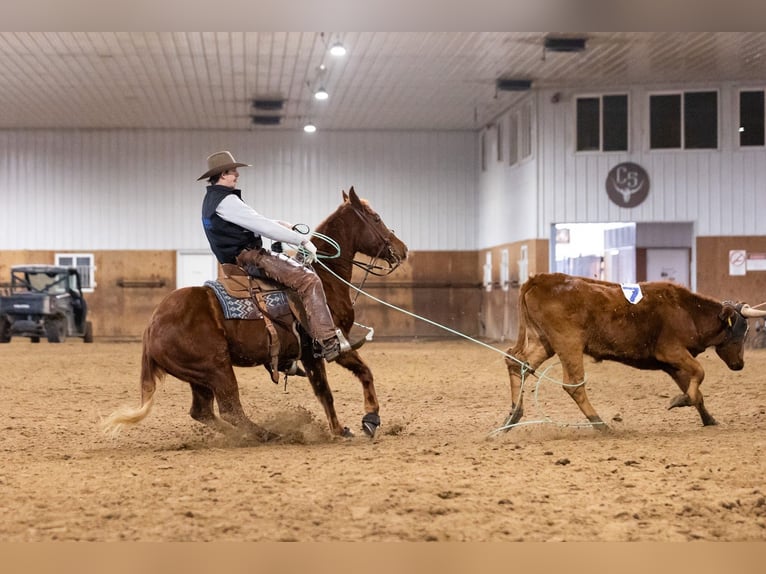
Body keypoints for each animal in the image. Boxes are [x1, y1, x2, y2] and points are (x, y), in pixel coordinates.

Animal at [101, 187, 408, 442]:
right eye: (376, 218)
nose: (402, 250)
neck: (324, 279)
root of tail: (151, 327)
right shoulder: (322, 347)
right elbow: (333, 389)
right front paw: (348, 427)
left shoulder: (324, 349)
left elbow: (354, 377)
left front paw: (366, 420)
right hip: (217, 368)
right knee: (231, 409)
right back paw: (270, 434)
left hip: (199, 377)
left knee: (203, 412)